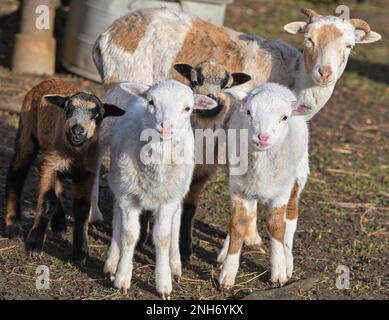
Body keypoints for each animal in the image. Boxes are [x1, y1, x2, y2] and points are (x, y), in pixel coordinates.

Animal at [104, 79, 217, 298]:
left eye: (187, 108)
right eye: (151, 102)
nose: (166, 126)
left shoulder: (168, 201)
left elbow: (163, 237)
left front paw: (164, 282)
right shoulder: (128, 196)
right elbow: (129, 235)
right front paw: (122, 277)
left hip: (178, 191)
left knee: (175, 224)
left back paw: (175, 266)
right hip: (118, 183)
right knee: (117, 220)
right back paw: (112, 261)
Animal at [217, 82, 310, 288]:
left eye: (284, 117)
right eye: (248, 112)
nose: (263, 137)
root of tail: (274, 85)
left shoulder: (280, 195)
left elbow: (276, 226)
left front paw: (279, 272)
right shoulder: (240, 191)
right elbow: (238, 224)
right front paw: (227, 273)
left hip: (297, 177)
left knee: (291, 217)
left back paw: (287, 257)